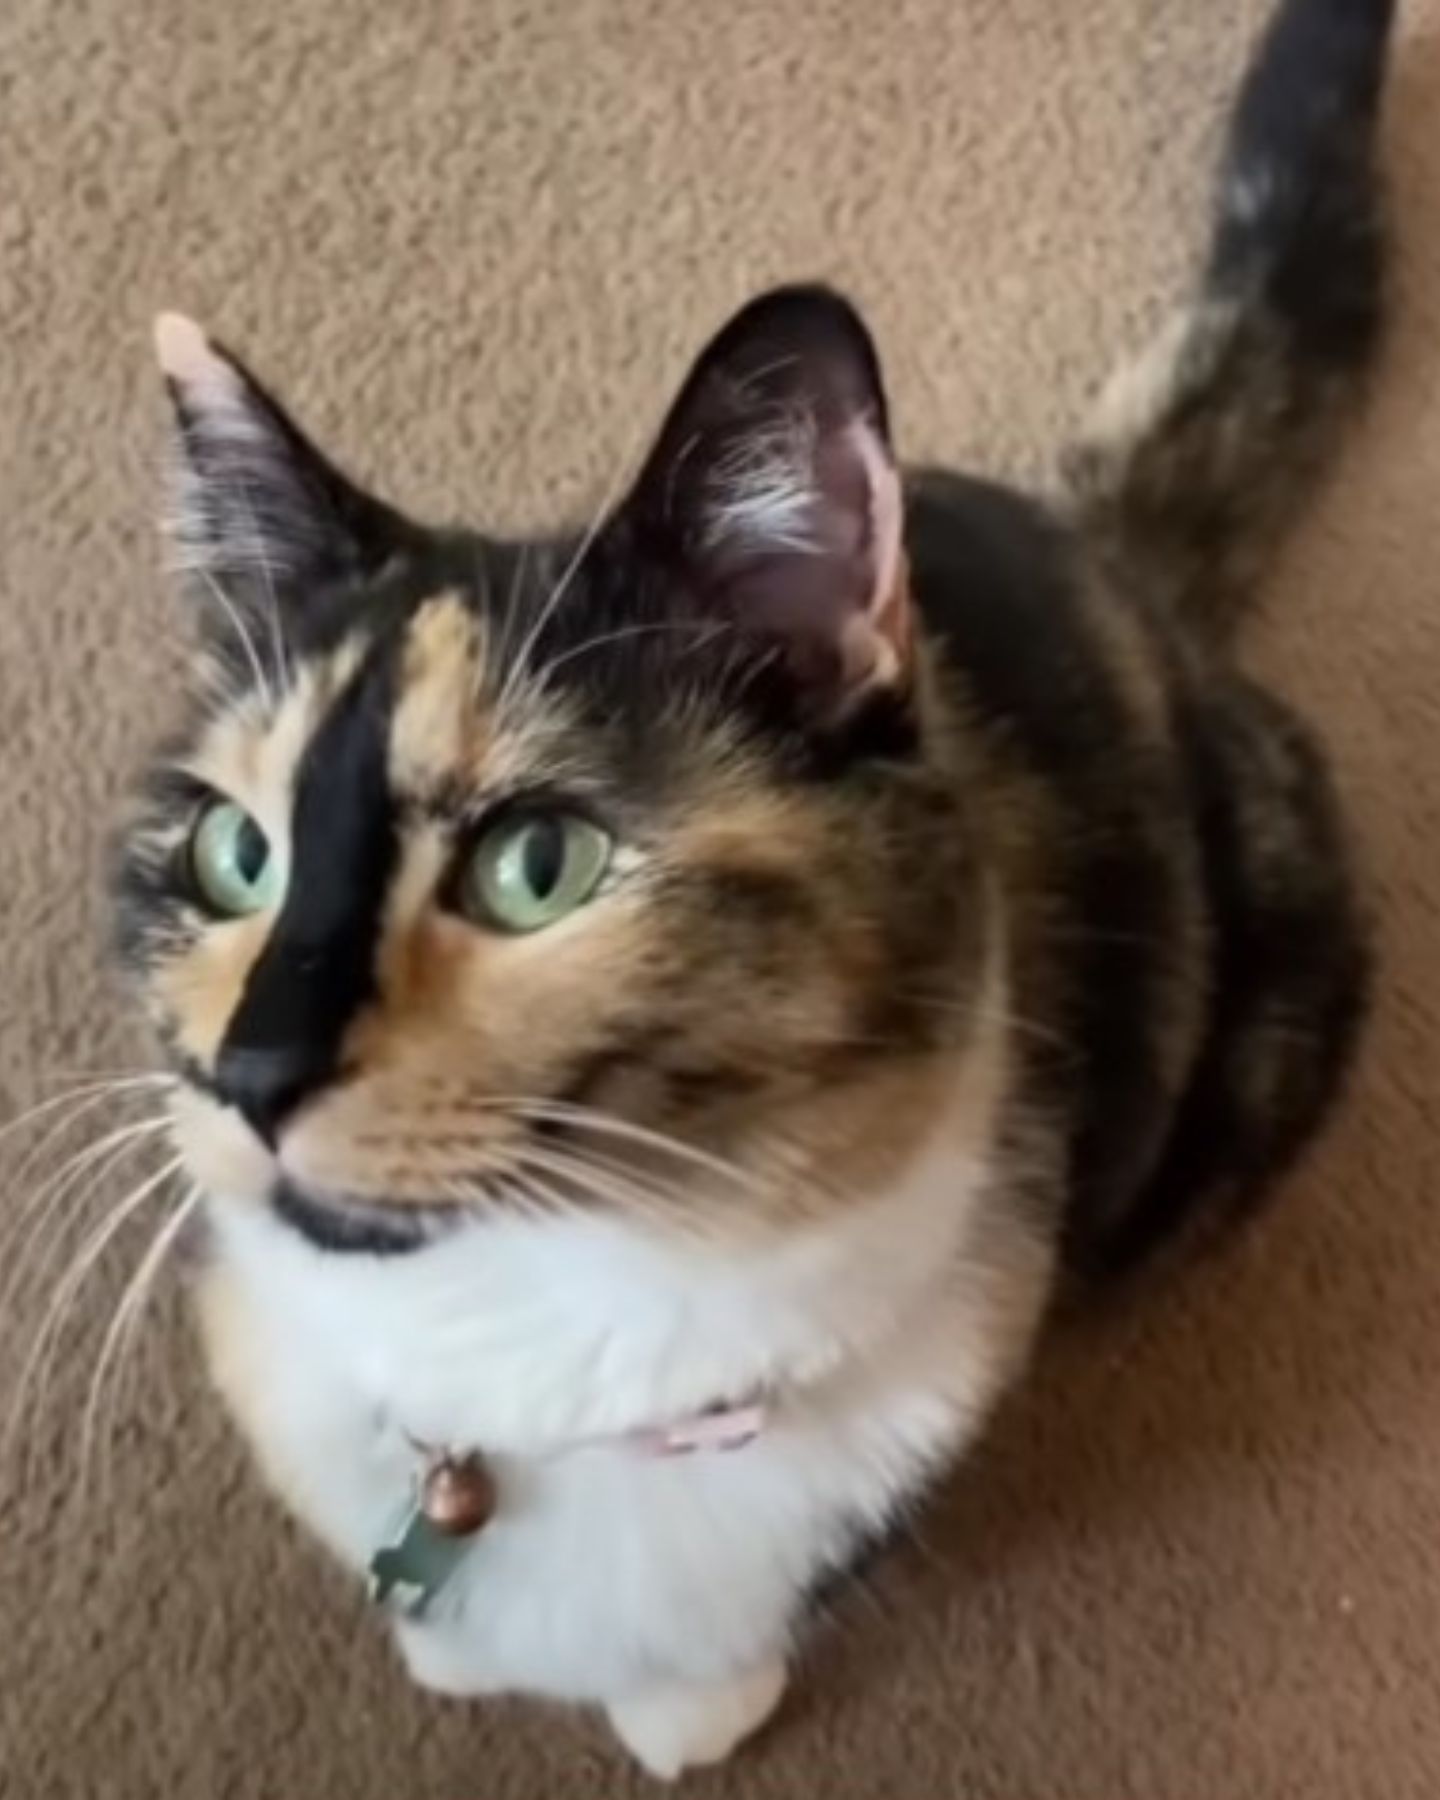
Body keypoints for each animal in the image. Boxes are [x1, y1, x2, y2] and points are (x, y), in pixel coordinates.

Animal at [112, 0, 1396, 1771]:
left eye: (537, 865)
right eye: (237, 849)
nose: (248, 1067)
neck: (518, 1361)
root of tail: (1118, 565)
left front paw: (692, 1711)